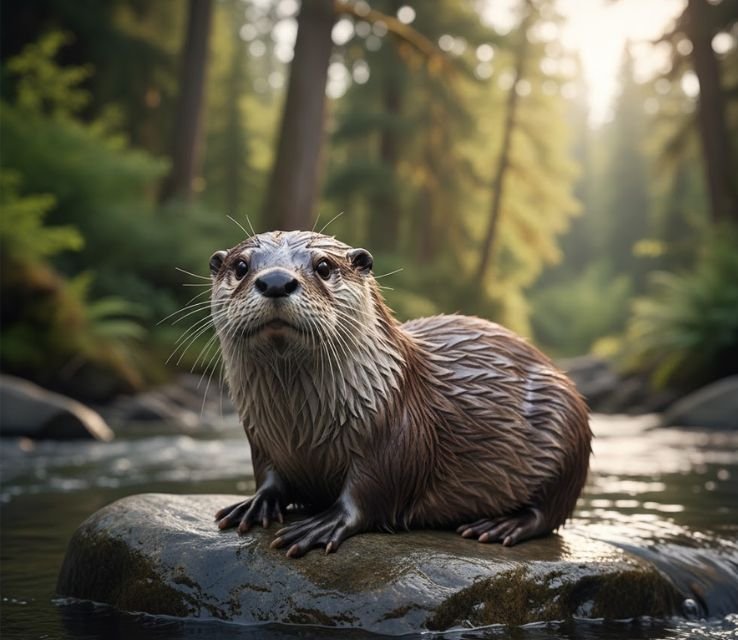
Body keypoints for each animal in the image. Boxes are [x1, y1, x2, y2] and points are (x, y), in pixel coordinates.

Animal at [209, 230, 591, 558]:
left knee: (550, 512)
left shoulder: (398, 430)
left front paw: (324, 522)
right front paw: (255, 503)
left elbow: (374, 491)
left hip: (567, 427)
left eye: (324, 266)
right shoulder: (259, 436)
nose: (275, 280)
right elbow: (269, 476)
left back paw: (503, 525)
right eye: (241, 266)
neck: (299, 427)